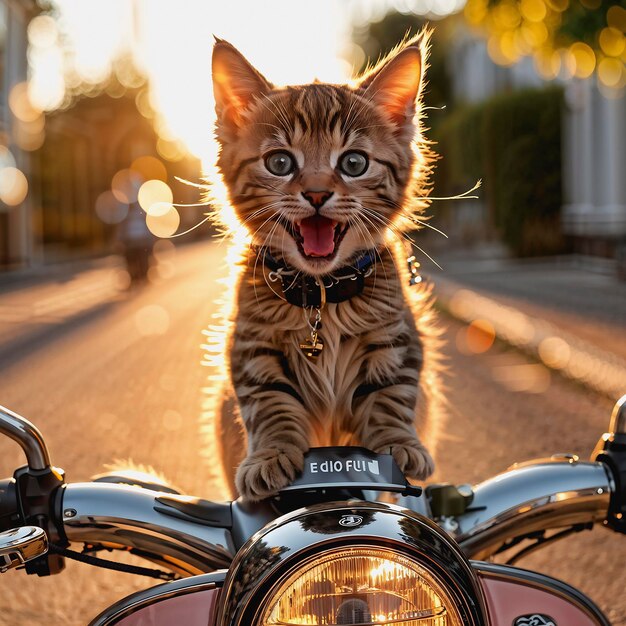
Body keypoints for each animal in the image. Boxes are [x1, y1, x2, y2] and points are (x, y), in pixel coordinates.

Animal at [208, 33, 438, 502]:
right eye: (280, 162)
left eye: (354, 163)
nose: (316, 194)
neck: (321, 297)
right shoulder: (251, 348)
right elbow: (269, 403)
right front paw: (271, 454)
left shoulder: (398, 340)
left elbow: (392, 395)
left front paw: (400, 443)